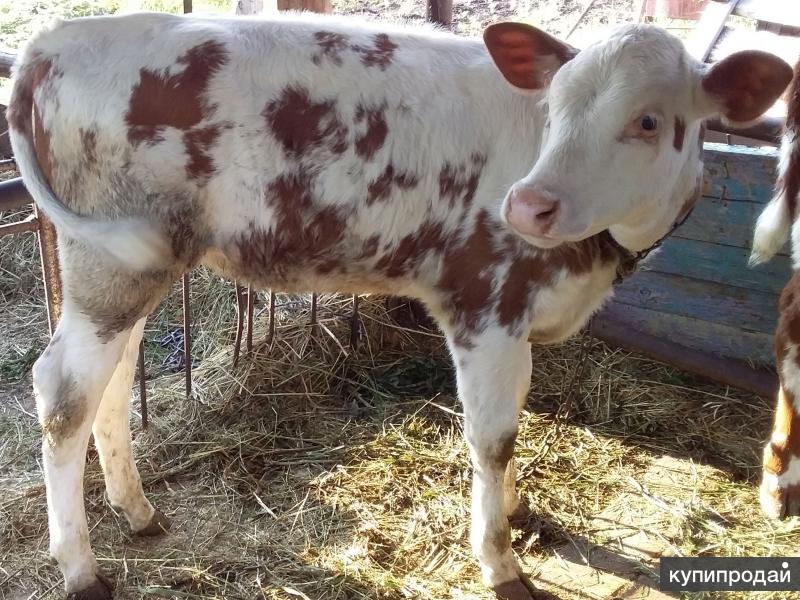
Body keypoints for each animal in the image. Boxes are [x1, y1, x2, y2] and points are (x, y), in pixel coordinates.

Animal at [6, 10, 792, 600]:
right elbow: (492, 439)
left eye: (650, 122)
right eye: (556, 106)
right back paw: (80, 568)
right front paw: (500, 562)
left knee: (111, 382)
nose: (526, 206)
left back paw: (137, 510)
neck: (598, 258)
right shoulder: (485, 305)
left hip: (137, 263)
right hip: (109, 258)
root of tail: (55, 40)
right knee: (63, 393)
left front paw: (517, 509)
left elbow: (514, 430)